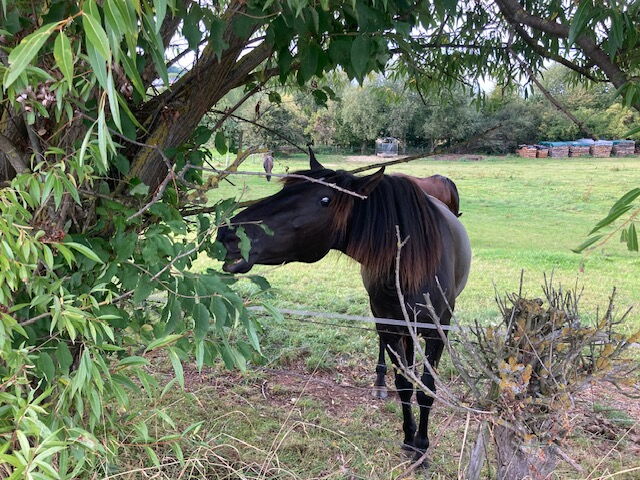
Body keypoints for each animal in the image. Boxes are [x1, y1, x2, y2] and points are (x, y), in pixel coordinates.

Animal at [218, 150, 472, 458]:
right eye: (285, 189)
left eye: (325, 200)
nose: (228, 234)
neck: (411, 265)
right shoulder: (389, 325)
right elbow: (403, 384)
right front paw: (409, 438)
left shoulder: (438, 332)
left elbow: (426, 390)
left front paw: (422, 447)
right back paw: (379, 382)